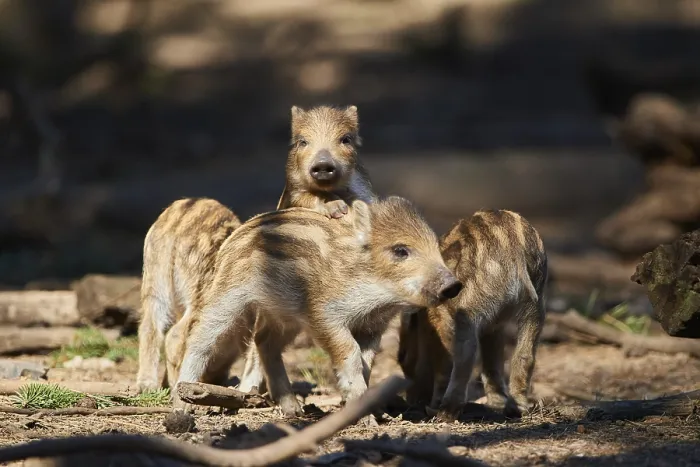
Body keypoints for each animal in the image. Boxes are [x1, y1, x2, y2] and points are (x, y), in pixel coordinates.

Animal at [398, 209, 548, 421]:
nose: (410, 402)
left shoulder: (441, 320)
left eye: (402, 357)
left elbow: (445, 364)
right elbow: (493, 362)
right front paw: (497, 404)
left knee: (465, 356)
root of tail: (514, 247)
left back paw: (444, 413)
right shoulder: (494, 326)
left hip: (468, 310)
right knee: (524, 355)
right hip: (535, 305)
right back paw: (516, 409)